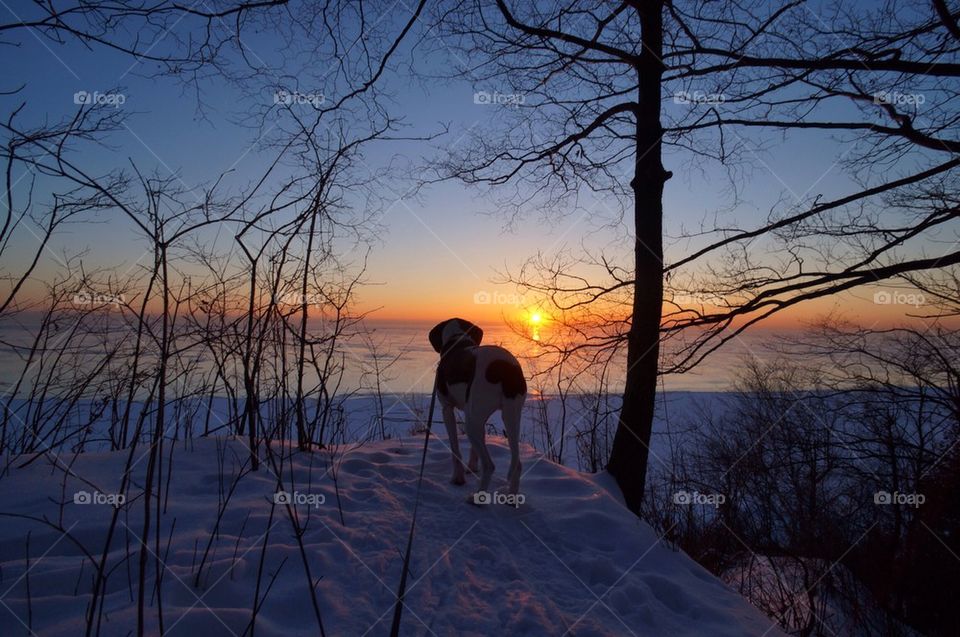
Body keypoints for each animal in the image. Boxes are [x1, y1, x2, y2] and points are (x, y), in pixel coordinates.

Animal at [432, 316, 528, 500]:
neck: (457, 341)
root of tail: (505, 367)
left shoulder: (447, 409)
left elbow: (455, 449)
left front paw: (458, 479)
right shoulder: (478, 416)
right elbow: (473, 448)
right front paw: (472, 467)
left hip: (472, 422)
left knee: (489, 465)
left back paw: (477, 497)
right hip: (511, 416)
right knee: (517, 463)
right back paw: (511, 497)